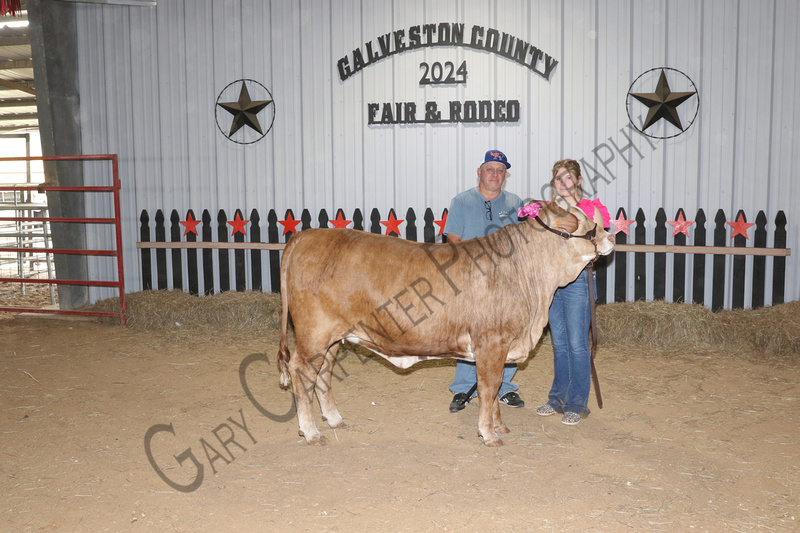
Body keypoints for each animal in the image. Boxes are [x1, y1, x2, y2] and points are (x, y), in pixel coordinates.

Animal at [278, 202, 616, 446]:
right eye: (585, 222)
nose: (611, 236)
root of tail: (305, 235)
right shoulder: (491, 343)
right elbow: (488, 387)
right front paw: (489, 435)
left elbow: (495, 390)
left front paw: (499, 426)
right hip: (314, 335)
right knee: (302, 372)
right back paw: (311, 432)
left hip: (333, 338)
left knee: (323, 374)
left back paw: (334, 419)